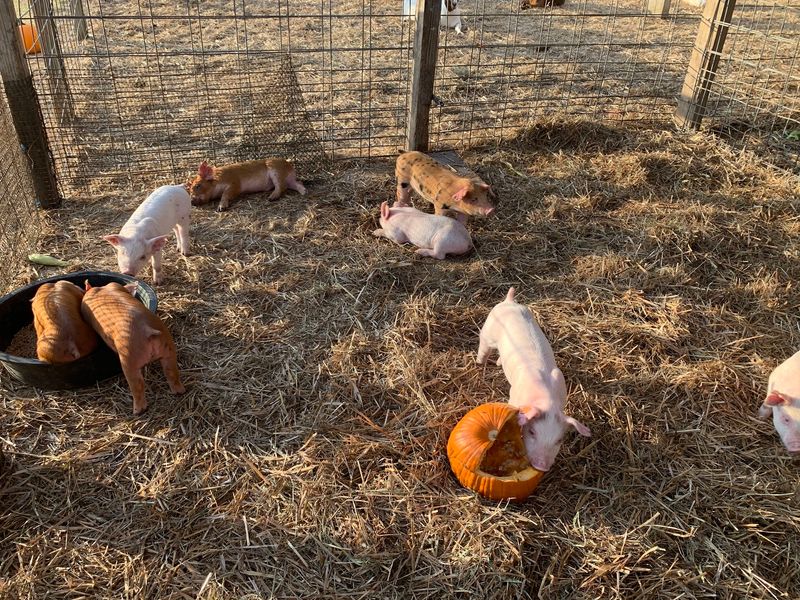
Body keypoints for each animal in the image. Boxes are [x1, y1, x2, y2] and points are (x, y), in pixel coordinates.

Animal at [81, 281, 185, 416]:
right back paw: (179, 392)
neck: (101, 289)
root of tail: (146, 329)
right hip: (168, 348)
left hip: (129, 359)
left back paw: (137, 411)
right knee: (171, 372)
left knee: (138, 385)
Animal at [476, 287, 590, 471]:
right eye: (532, 432)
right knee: (484, 347)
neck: (547, 400)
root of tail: (509, 301)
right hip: (488, 332)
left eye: (559, 440)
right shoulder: (513, 395)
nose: (542, 466)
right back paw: (480, 362)